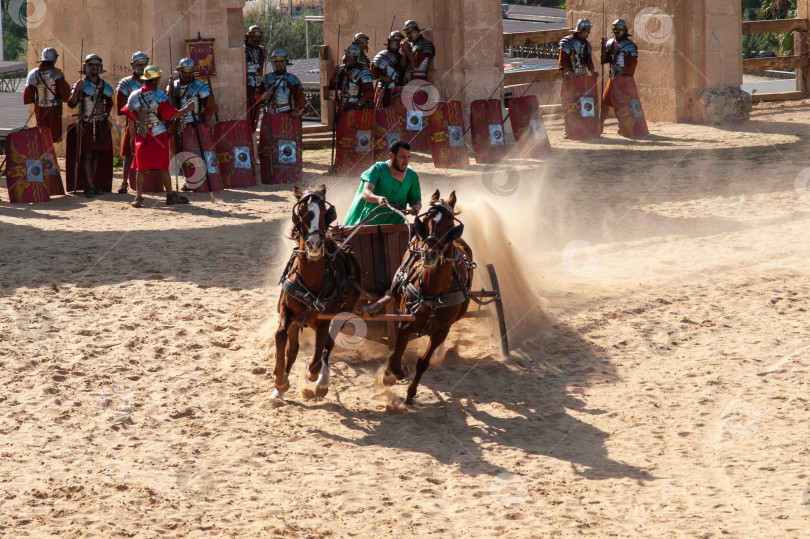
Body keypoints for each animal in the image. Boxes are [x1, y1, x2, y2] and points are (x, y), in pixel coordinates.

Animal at [272, 186, 360, 400]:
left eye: (324, 213)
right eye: (301, 211)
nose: (313, 245)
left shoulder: (324, 321)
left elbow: (316, 360)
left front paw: (315, 379)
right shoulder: (288, 312)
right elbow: (281, 337)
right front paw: (280, 379)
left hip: (342, 315)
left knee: (328, 346)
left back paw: (321, 381)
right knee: (294, 349)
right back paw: (280, 388)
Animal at [380, 190, 470, 404]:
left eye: (449, 224)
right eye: (425, 220)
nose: (428, 254)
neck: (433, 293)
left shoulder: (441, 331)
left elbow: (422, 363)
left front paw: (410, 394)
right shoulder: (405, 324)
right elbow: (396, 358)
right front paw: (395, 373)